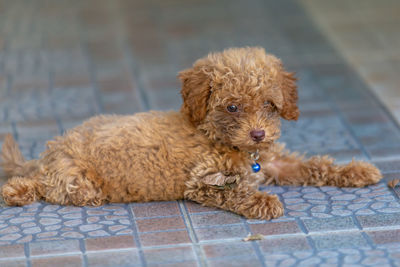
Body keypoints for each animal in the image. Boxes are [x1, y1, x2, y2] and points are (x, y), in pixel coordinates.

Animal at [0, 47, 382, 220]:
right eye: (232, 107)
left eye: (269, 105)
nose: (258, 134)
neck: (220, 137)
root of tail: (47, 154)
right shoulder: (201, 181)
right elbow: (234, 192)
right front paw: (261, 201)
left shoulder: (274, 163)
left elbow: (311, 166)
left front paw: (355, 170)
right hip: (78, 183)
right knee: (46, 188)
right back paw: (16, 191)